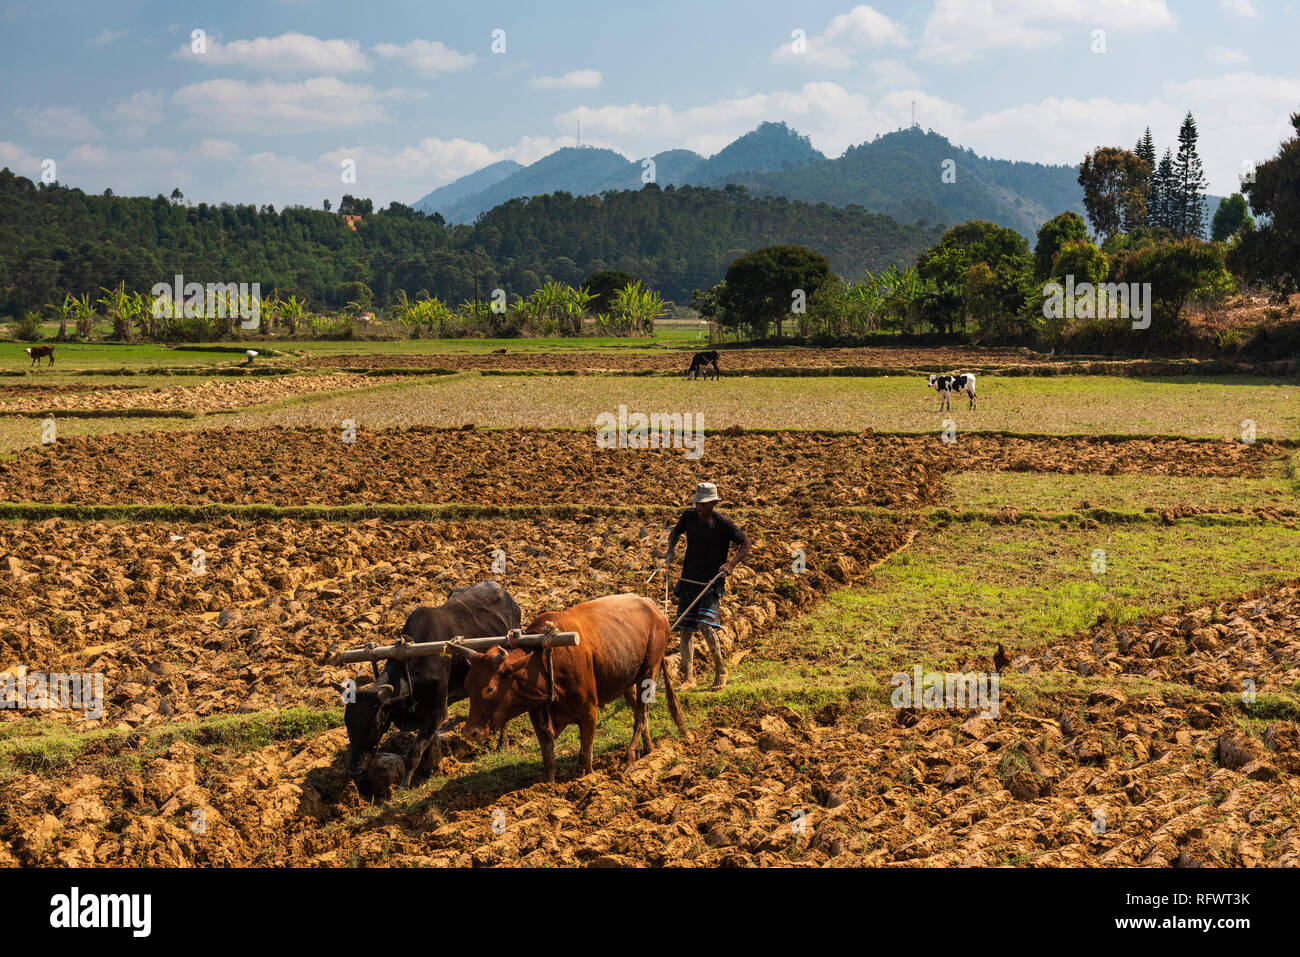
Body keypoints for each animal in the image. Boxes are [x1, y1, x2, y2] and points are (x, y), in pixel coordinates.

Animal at [343, 579, 520, 790]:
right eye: (348, 724)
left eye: (374, 724)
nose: (353, 770)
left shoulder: (437, 712)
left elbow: (414, 753)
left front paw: (404, 784)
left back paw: (501, 743)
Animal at [467, 590, 691, 785]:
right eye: (468, 686)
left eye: (489, 688)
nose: (470, 733)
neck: (544, 659)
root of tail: (653, 607)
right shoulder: (538, 716)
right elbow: (548, 758)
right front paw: (547, 785)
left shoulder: (588, 711)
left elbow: (585, 753)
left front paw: (587, 779)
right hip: (627, 680)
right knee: (639, 713)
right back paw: (649, 749)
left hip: (649, 672)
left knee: (641, 716)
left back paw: (629, 755)